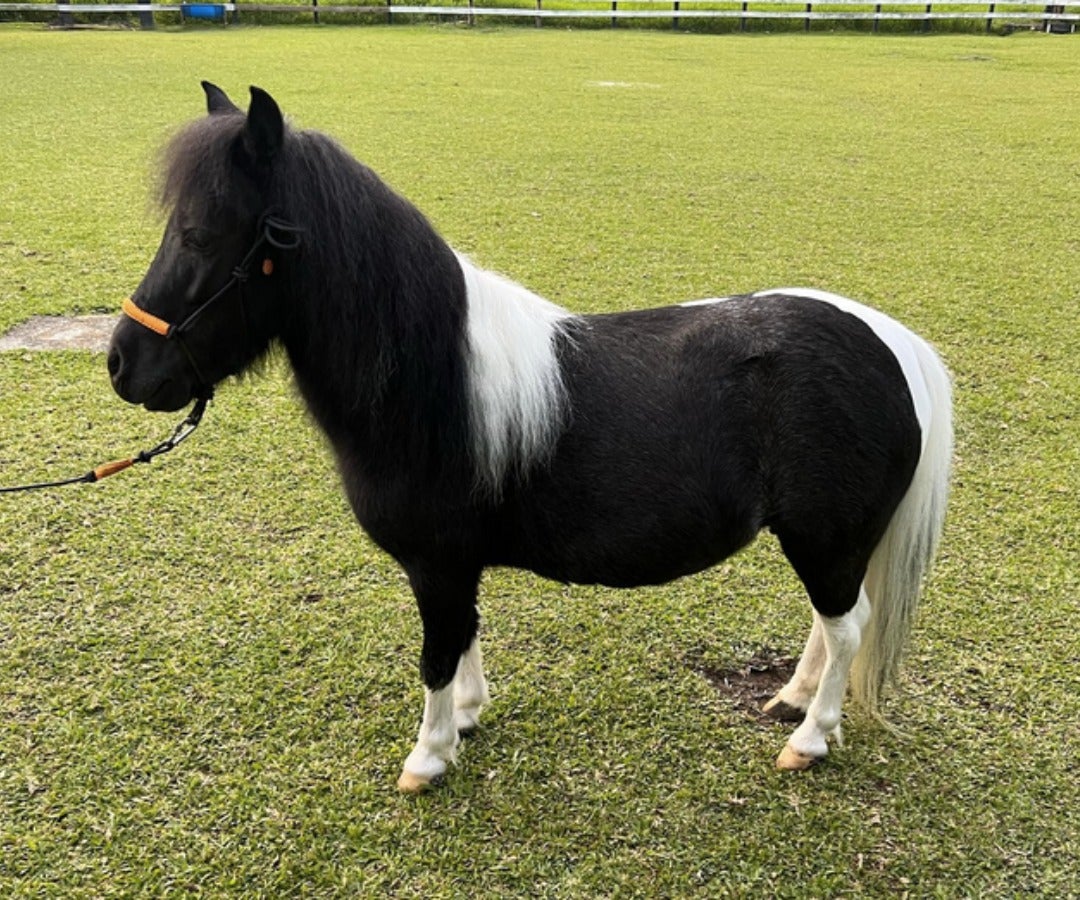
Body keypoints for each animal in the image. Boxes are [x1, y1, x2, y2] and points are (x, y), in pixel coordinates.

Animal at [108, 83, 952, 792]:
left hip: (823, 537)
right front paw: (468, 717)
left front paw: (429, 757)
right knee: (833, 624)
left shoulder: (437, 564)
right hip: (825, 540)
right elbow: (463, 640)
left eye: (199, 234)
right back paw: (791, 701)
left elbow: (437, 652)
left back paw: (808, 739)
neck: (434, 379)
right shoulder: (453, 565)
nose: (122, 364)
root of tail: (892, 343)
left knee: (848, 626)